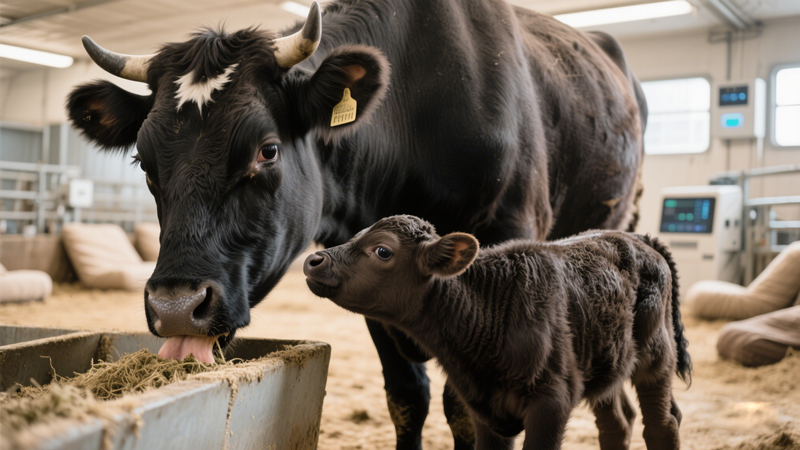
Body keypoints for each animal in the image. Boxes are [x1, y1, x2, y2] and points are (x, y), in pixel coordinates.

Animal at [65, 1, 647, 448]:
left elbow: (464, 409)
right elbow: (407, 398)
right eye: (144, 162)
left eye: (267, 150)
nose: (176, 307)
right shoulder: (367, 283)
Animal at [303, 214, 691, 450]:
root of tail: (636, 236)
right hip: (604, 356)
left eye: (382, 250)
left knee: (662, 424)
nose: (313, 260)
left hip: (656, 356)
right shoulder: (484, 411)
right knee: (617, 423)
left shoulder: (552, 401)